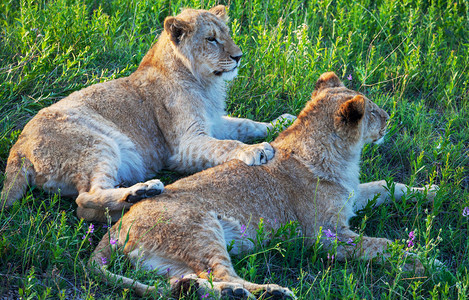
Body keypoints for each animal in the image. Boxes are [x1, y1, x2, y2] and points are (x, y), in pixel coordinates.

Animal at [0, 4, 292, 220]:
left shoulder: (215, 122)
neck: (204, 82)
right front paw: (256, 150)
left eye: (227, 34)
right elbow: (226, 145)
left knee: (86, 208)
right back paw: (144, 190)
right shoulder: (184, 146)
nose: (239, 57)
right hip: (96, 144)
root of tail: (18, 147)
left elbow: (246, 124)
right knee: (85, 199)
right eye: (211, 39)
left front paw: (280, 122)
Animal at [88, 72, 438, 298]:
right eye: (373, 111)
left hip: (167, 262)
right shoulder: (327, 236)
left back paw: (212, 291)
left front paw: (430, 192)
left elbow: (386, 185)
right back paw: (270, 292)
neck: (342, 157)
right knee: (222, 272)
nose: (389, 117)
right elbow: (380, 244)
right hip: (199, 229)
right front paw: (426, 261)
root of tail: (116, 228)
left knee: (198, 279)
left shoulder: (351, 197)